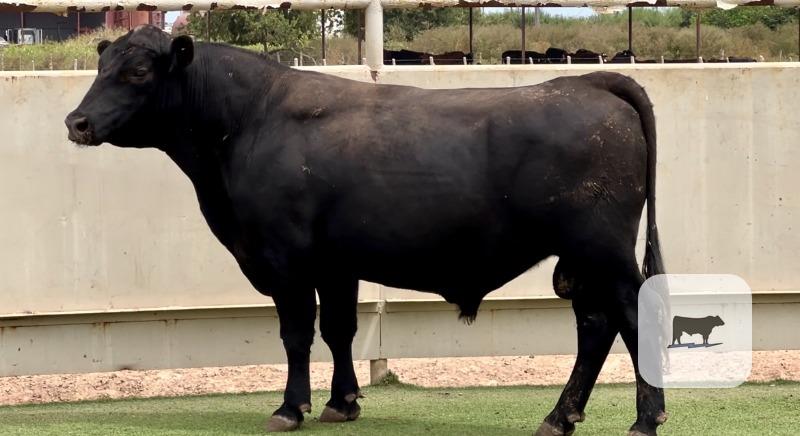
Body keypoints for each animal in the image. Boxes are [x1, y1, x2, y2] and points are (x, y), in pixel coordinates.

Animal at [65, 26, 667, 435]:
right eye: (101, 67)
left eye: (138, 72)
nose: (77, 122)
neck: (249, 120)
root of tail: (590, 82)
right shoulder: (336, 262)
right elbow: (339, 329)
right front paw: (343, 402)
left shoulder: (284, 259)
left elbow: (297, 333)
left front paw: (291, 407)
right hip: (583, 260)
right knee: (595, 325)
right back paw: (560, 416)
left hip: (602, 250)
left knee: (631, 316)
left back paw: (646, 419)